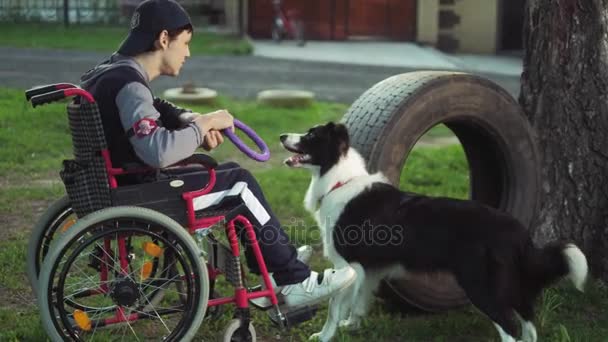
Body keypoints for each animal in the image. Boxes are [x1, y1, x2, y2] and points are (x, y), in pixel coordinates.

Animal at [280, 123, 588, 342]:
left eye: (311, 134)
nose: (282, 135)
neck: (339, 180)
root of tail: (515, 230)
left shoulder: (348, 265)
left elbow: (334, 308)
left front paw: (324, 336)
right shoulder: (370, 269)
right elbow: (359, 302)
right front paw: (352, 327)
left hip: (480, 284)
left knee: (510, 328)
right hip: (508, 285)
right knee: (528, 324)